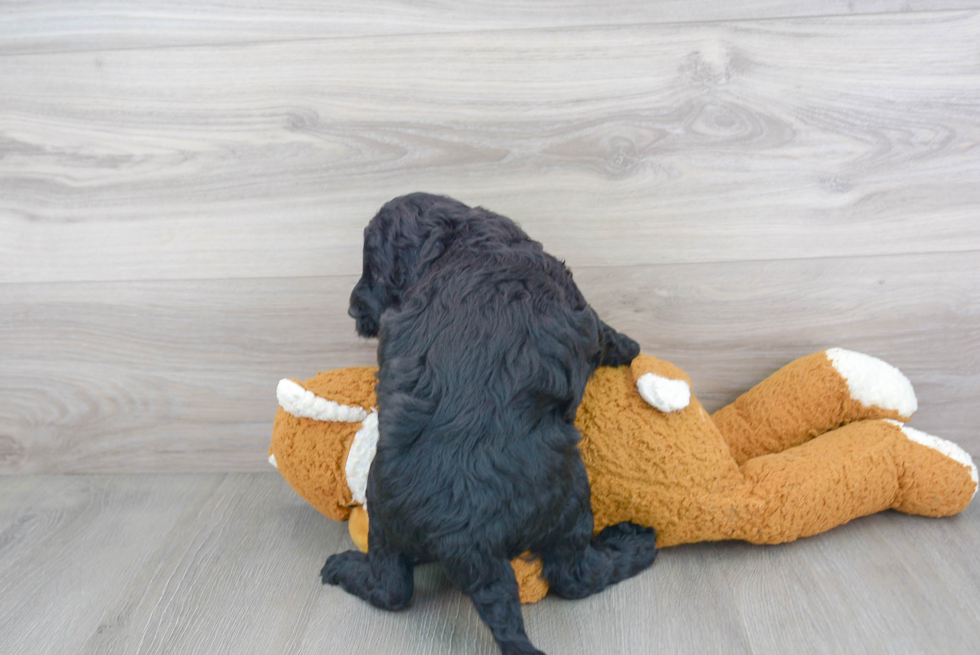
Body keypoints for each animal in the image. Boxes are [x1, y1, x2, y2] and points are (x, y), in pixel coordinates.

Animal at [324, 193, 660, 655]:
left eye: (373, 270)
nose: (352, 308)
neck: (462, 243)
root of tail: (468, 543)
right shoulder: (580, 305)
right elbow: (604, 332)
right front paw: (631, 346)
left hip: (385, 518)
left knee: (391, 586)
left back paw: (343, 569)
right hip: (570, 502)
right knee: (575, 575)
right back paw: (633, 542)